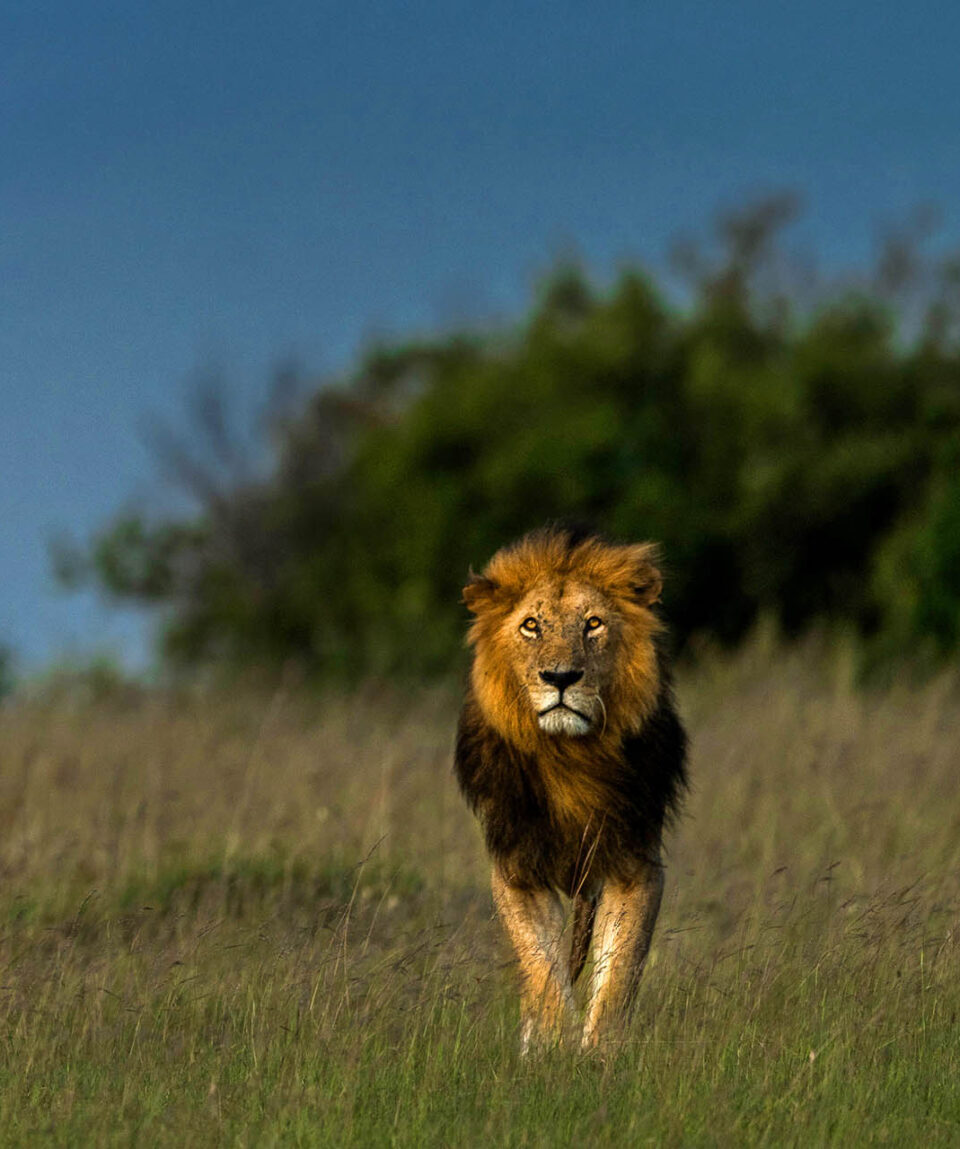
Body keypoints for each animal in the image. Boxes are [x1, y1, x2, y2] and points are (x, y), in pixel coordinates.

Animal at [454, 526, 684, 1052]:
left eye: (593, 624)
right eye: (531, 626)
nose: (560, 677)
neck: (569, 756)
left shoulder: (634, 864)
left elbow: (618, 975)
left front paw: (599, 1056)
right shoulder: (517, 870)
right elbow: (541, 968)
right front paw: (552, 1048)